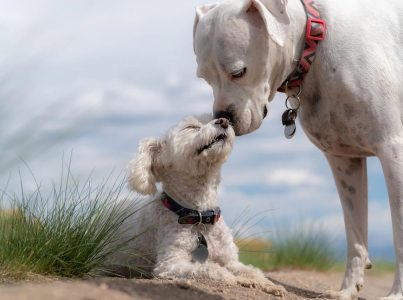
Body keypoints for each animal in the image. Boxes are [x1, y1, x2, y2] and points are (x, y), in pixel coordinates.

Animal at [115, 114, 286, 296]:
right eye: (191, 127)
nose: (224, 120)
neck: (200, 216)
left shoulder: (230, 260)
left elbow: (251, 270)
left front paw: (269, 284)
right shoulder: (170, 264)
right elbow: (212, 269)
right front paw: (237, 279)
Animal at [193, 0, 403, 298]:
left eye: (238, 72)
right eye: (204, 78)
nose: (222, 117)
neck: (315, 41)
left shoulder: (392, 150)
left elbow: (399, 231)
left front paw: (397, 293)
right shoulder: (344, 161)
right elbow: (355, 233)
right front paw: (347, 290)